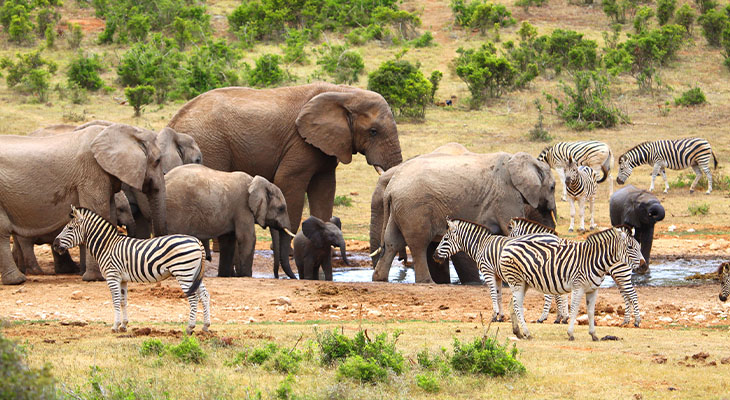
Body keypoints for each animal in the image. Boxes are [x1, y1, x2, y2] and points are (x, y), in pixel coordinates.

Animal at [0, 123, 167, 284]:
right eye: (158, 161)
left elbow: (109, 217)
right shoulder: (92, 173)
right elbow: (98, 214)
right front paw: (96, 278)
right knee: (4, 231)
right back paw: (18, 280)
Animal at [164, 164, 294, 278]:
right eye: (281, 208)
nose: (277, 276)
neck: (255, 182)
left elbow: (228, 241)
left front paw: (224, 275)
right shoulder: (242, 207)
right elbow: (247, 238)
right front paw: (246, 276)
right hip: (176, 209)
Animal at [371, 149, 557, 284]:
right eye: (553, 187)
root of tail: (391, 188)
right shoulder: (506, 195)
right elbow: (511, 231)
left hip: (399, 208)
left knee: (392, 241)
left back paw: (379, 279)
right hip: (414, 207)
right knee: (419, 243)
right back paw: (427, 282)